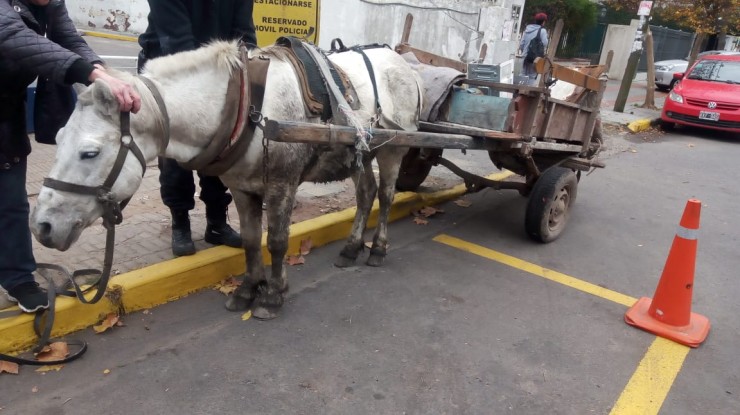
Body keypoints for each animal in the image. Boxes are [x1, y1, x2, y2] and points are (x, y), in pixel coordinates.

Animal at [30, 40, 422, 320]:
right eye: (58, 138)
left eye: (89, 153)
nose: (42, 227)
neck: (247, 107)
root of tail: (403, 62)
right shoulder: (242, 187)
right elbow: (250, 241)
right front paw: (247, 290)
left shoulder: (282, 184)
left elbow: (276, 241)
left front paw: (273, 295)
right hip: (362, 153)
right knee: (366, 194)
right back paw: (351, 248)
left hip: (393, 150)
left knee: (385, 196)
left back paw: (377, 250)